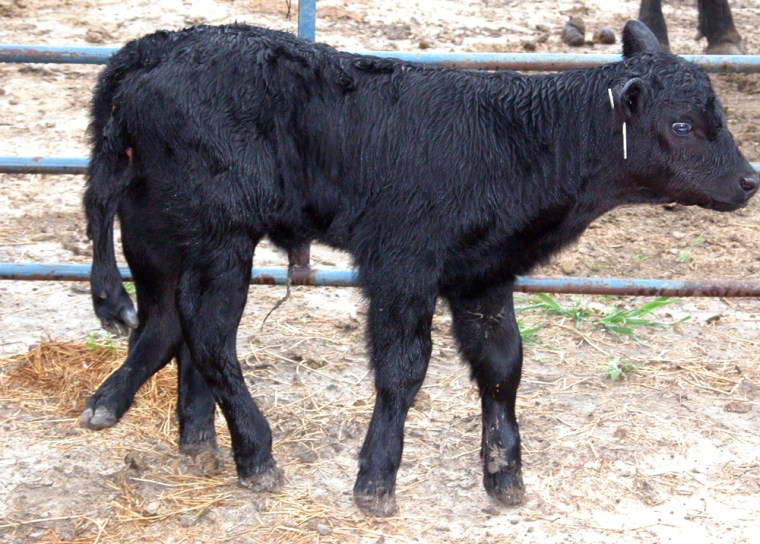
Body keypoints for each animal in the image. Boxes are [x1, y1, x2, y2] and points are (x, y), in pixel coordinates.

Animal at [82, 20, 757, 516]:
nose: (749, 181)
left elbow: (502, 365)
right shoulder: (404, 266)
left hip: (160, 224)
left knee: (171, 321)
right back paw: (256, 455)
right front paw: (376, 481)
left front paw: (504, 474)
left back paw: (175, 432)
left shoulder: (486, 273)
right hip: (221, 232)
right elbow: (404, 368)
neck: (516, 143)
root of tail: (165, 42)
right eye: (681, 125)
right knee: (209, 331)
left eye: (721, 119)